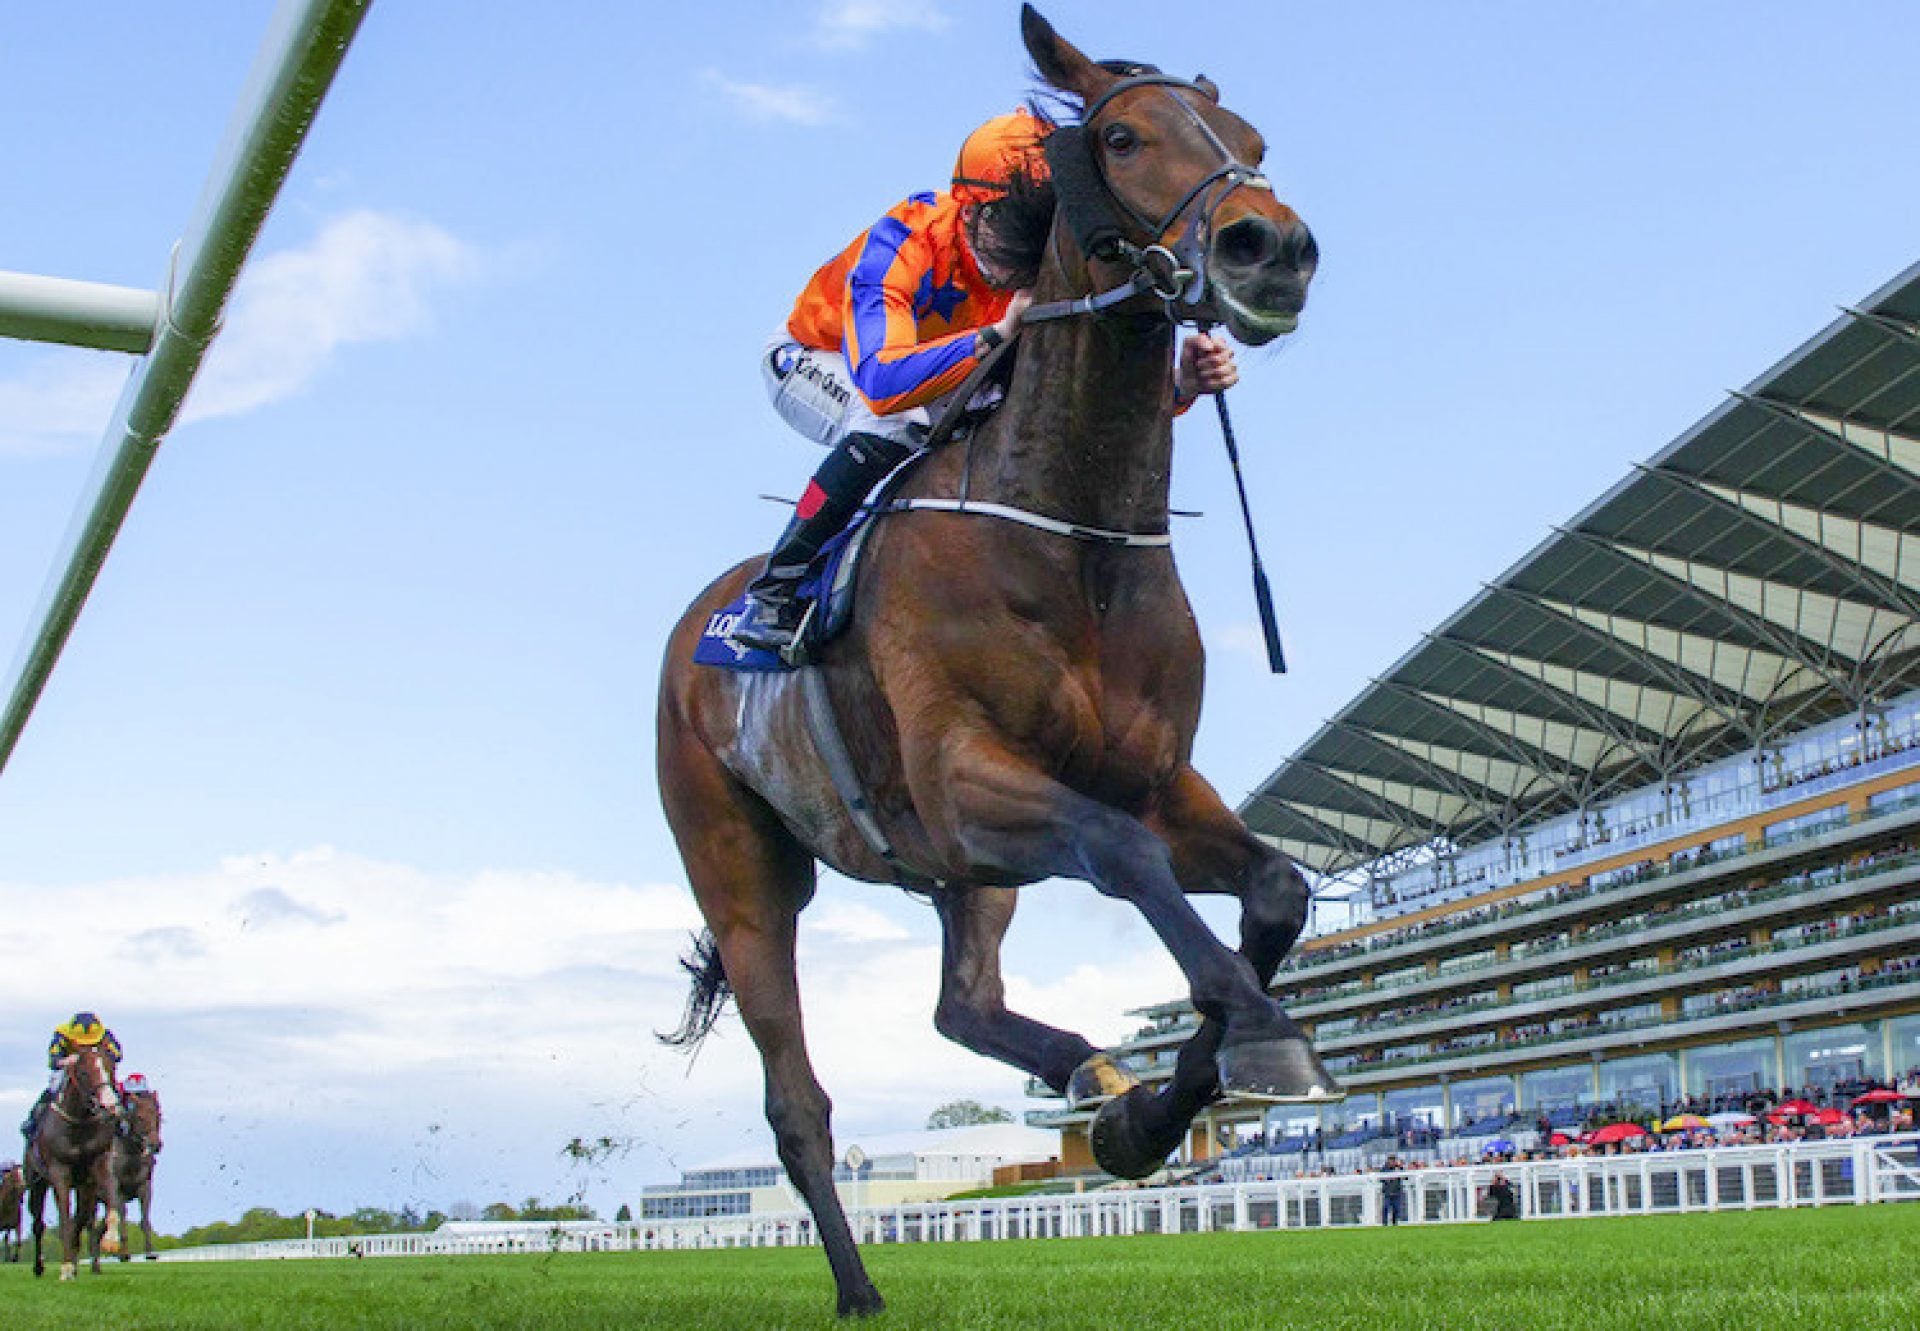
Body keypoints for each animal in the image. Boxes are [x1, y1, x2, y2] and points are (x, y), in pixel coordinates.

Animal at [23, 1037, 121, 1275]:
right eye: (84, 1072)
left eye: (110, 1068)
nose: (109, 1105)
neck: (79, 1124)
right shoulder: (59, 1172)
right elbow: (65, 1219)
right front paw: (66, 1266)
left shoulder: (99, 1164)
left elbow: (110, 1195)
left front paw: (111, 1240)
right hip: (36, 1182)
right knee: (38, 1223)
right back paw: (39, 1266)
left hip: (84, 1186)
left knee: (82, 1216)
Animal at [96, 1083, 163, 1259]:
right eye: (139, 1117)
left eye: (158, 1115)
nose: (155, 1145)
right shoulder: (118, 1190)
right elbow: (123, 1217)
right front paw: (124, 1253)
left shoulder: (145, 1186)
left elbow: (145, 1220)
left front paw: (150, 1252)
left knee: (96, 1231)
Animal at [660, 5, 1336, 1313]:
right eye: (1122, 136)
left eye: (1250, 140)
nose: (1269, 247)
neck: (1069, 528)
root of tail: (690, 634)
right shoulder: (966, 778)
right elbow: (1125, 855)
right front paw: (1255, 1034)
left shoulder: (1151, 779)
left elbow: (1275, 885)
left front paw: (1157, 1105)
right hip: (749, 873)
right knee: (797, 1099)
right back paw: (859, 1287)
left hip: (962, 873)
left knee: (961, 1002)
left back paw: (1084, 1070)